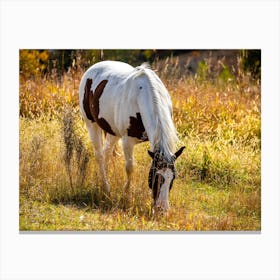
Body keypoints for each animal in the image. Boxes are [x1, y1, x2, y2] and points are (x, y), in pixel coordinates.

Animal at [79, 60, 185, 210]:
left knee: (106, 153)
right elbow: (130, 167)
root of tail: (93, 68)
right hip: (91, 124)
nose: (162, 209)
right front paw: (127, 197)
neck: (142, 95)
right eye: (156, 177)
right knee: (99, 155)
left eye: (173, 178)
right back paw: (106, 188)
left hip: (113, 132)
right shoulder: (127, 141)